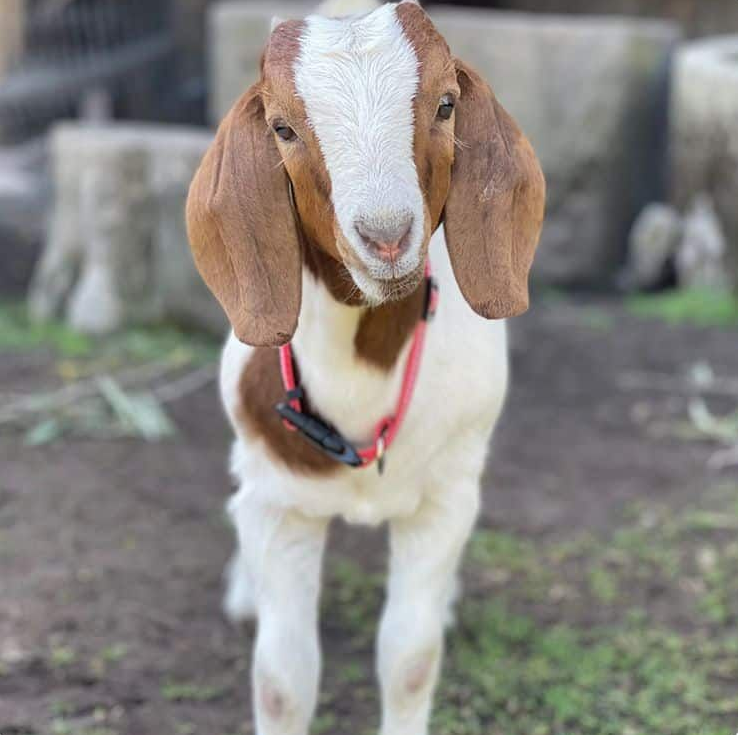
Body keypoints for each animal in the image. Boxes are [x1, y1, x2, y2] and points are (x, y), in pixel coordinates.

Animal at [186, 1, 545, 733]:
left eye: (445, 104)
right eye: (283, 127)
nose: (385, 236)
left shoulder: (443, 499)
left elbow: (409, 658)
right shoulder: (281, 503)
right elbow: (282, 678)